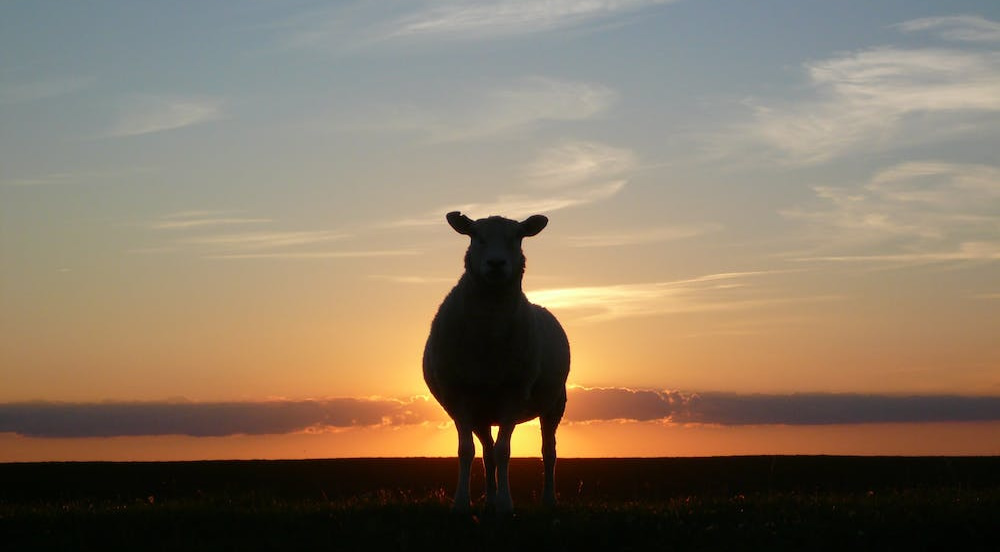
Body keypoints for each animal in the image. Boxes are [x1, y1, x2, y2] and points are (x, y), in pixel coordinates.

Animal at [423, 211, 570, 514]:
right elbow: (466, 451)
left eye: (518, 237)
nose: (496, 263)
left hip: (555, 404)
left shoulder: (513, 393)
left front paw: (505, 504)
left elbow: (505, 451)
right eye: (476, 236)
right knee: (487, 452)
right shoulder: (459, 396)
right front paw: (462, 503)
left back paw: (548, 500)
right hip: (481, 412)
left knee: (548, 452)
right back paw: (489, 500)